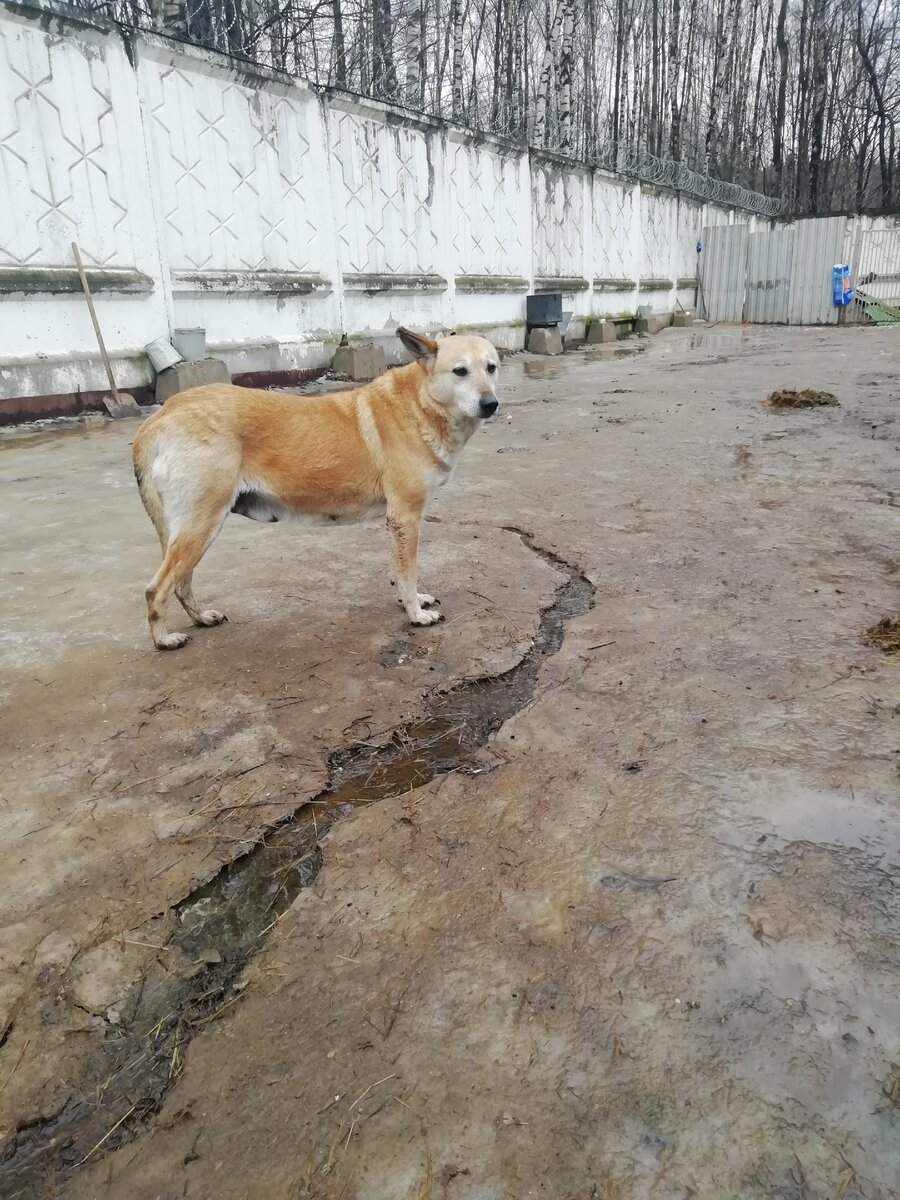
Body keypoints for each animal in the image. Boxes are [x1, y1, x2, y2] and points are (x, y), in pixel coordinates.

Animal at [133, 326, 501, 648]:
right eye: (459, 371)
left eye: (491, 368)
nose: (491, 404)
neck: (421, 403)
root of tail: (163, 415)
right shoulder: (406, 517)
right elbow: (407, 572)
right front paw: (416, 614)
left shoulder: (397, 523)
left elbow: (399, 571)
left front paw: (414, 601)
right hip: (201, 525)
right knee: (157, 588)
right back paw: (163, 639)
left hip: (194, 529)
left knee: (180, 583)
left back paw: (200, 619)